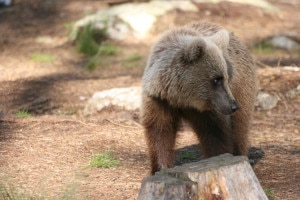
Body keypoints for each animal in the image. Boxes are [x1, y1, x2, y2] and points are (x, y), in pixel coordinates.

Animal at [141, 22, 258, 175]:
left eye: (226, 77)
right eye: (216, 79)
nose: (233, 106)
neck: (181, 98)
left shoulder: (210, 109)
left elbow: (216, 134)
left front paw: (218, 160)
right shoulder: (159, 101)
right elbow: (160, 132)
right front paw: (160, 168)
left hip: (242, 87)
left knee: (240, 127)